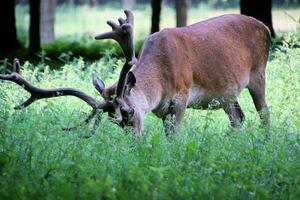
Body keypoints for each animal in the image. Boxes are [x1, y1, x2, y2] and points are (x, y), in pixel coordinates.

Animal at [0, 10, 272, 136]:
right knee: (238, 118)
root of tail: (266, 27)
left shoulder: (183, 93)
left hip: (258, 73)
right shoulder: (162, 109)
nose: (135, 141)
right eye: (114, 122)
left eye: (128, 112)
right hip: (227, 93)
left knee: (264, 113)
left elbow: (175, 134)